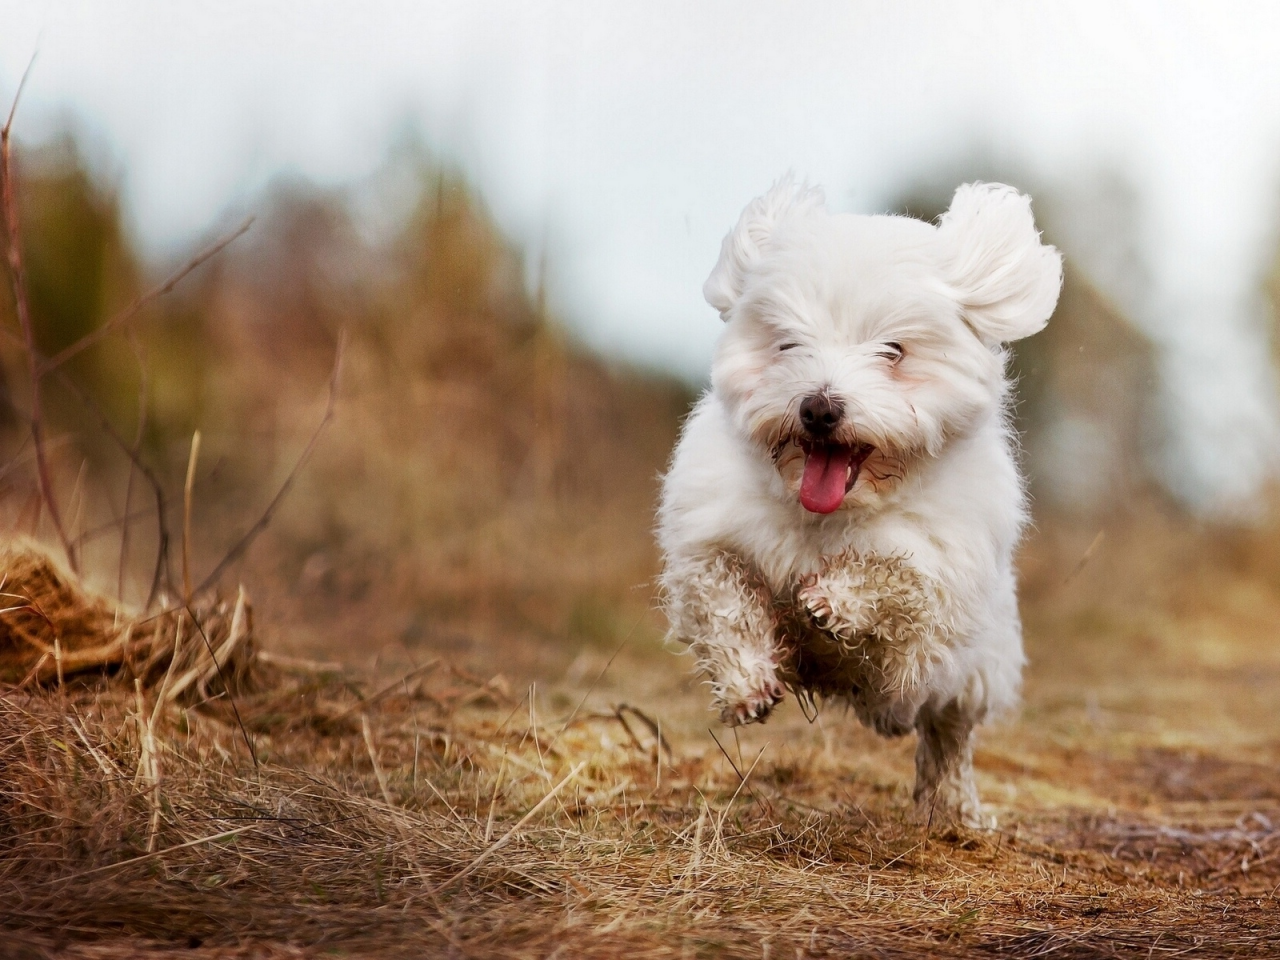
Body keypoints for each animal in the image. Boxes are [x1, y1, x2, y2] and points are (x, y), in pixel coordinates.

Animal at [660, 180, 1059, 829]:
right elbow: (725, 601)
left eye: (893, 350)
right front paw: (747, 684)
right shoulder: (710, 535)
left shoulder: (939, 568)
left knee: (948, 738)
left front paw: (832, 602)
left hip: (976, 670)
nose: (819, 408)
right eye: (787, 342)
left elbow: (896, 578)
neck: (830, 515)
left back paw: (955, 810)